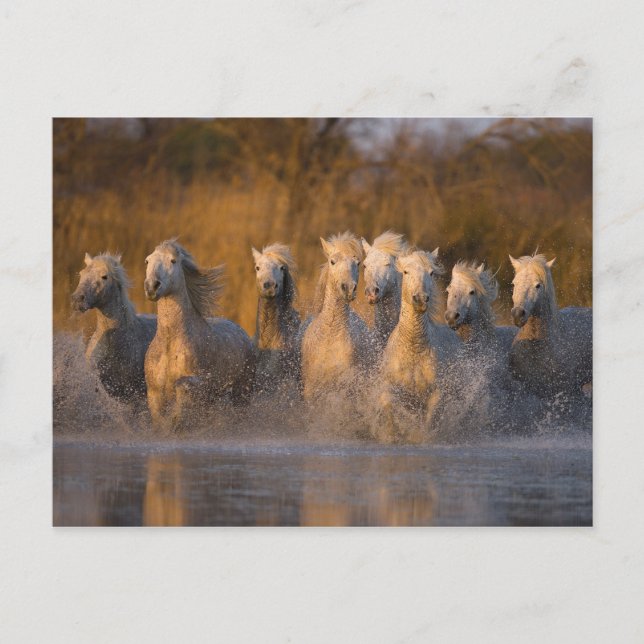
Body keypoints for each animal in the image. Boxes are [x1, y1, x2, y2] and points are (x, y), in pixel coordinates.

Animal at [144, 240, 255, 429]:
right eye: (147, 260)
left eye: (173, 260)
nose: (152, 286)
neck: (170, 342)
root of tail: (242, 332)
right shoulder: (154, 394)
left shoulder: (195, 387)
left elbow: (181, 398)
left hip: (242, 393)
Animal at [300, 231, 370, 401]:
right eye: (332, 261)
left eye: (358, 263)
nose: (348, 288)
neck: (330, 337)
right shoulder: (310, 390)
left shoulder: (344, 389)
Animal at [376, 249, 461, 442]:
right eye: (406, 272)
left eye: (431, 273)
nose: (421, 299)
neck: (413, 346)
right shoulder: (390, 387)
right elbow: (388, 406)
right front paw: (392, 435)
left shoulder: (436, 394)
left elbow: (430, 421)